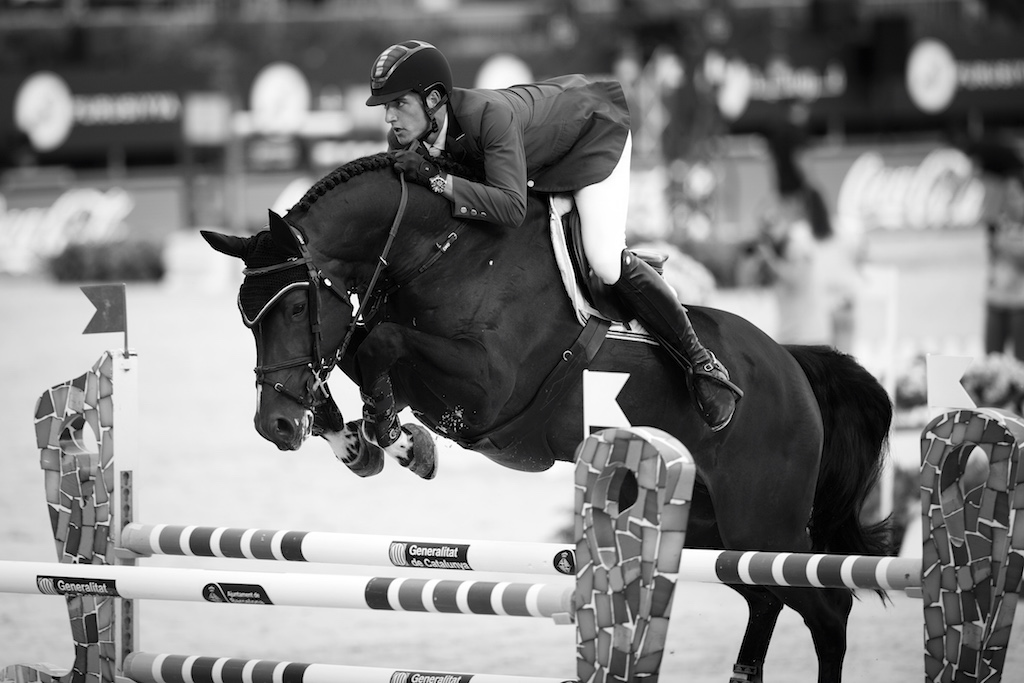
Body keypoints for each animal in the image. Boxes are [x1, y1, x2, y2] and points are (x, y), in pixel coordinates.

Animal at [203, 152, 892, 679]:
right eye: (245, 314)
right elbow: (357, 343)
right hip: (711, 533)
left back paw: (715, 388)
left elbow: (377, 342)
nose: (272, 426)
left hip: (765, 526)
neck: (437, 249)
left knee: (827, 611)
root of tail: (792, 365)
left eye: (296, 309)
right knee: (765, 602)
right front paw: (359, 442)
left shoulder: (488, 387)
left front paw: (394, 438)